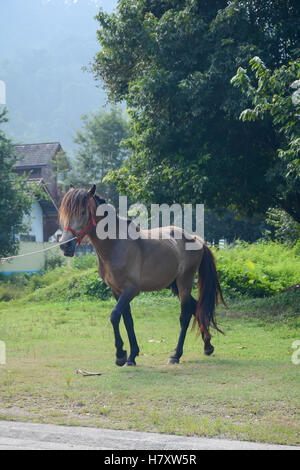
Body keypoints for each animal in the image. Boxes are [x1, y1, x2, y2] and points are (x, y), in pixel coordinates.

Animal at [59, 186, 226, 368]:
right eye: (65, 213)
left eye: (82, 212)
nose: (65, 245)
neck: (116, 244)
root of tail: (196, 239)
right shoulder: (117, 291)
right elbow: (127, 320)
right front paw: (132, 356)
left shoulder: (131, 290)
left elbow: (114, 316)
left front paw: (120, 355)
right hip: (174, 285)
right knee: (196, 308)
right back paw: (208, 346)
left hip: (184, 283)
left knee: (185, 316)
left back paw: (176, 354)